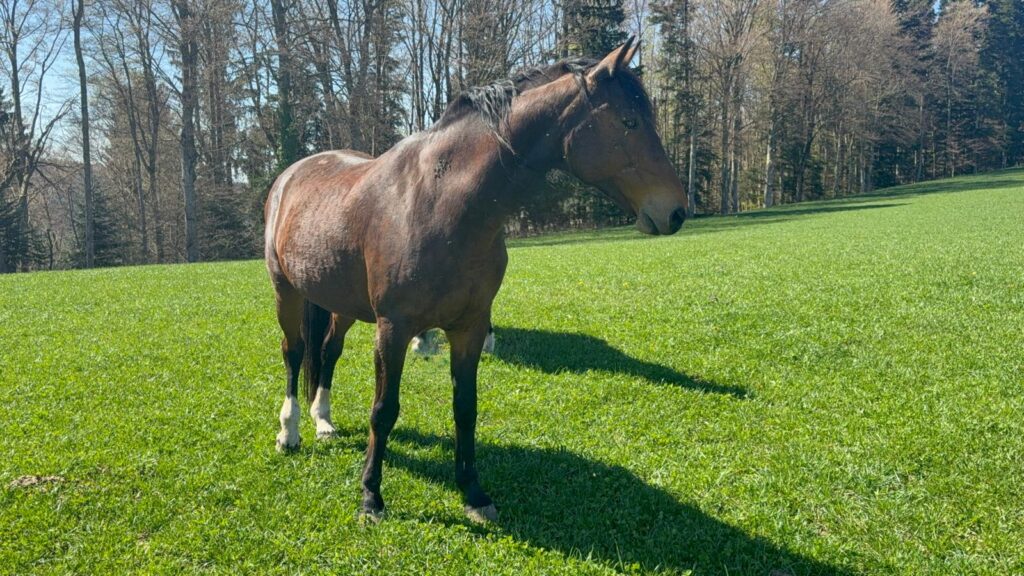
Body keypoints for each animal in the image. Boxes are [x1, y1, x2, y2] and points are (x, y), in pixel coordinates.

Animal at [263, 38, 687, 523]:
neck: (439, 203)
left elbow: (465, 408)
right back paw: (290, 431)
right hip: (286, 292)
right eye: (629, 121)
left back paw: (324, 420)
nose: (676, 211)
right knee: (295, 353)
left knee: (328, 351)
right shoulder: (392, 329)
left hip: (341, 303)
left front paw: (473, 492)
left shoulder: (468, 328)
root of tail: (291, 175)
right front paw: (371, 496)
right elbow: (383, 410)